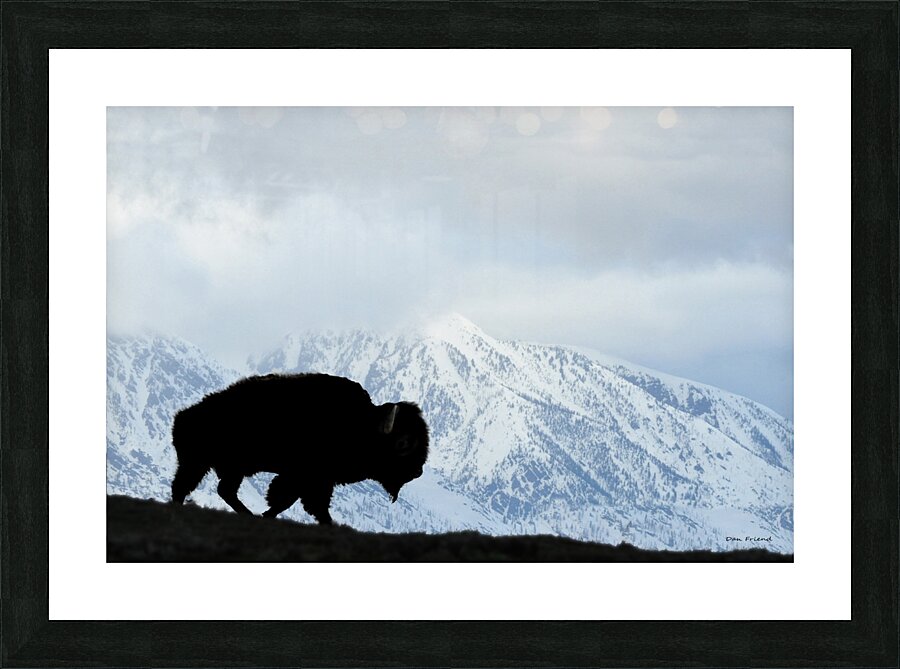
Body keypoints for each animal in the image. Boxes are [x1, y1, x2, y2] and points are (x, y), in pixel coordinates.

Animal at [170, 373, 429, 525]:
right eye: (403, 443)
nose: (418, 472)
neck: (362, 423)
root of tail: (184, 416)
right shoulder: (307, 477)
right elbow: (299, 501)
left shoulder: (316, 479)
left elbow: (294, 500)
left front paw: (267, 514)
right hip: (202, 464)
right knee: (189, 487)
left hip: (222, 468)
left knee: (218, 490)